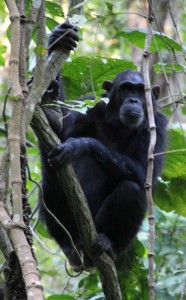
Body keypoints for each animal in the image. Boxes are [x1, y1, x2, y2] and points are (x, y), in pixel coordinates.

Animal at [38, 22, 166, 270]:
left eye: (140, 91)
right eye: (126, 89)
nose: (133, 100)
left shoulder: (159, 125)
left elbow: (145, 174)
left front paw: (80, 145)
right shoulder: (90, 106)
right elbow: (60, 134)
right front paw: (58, 38)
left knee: (132, 189)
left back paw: (107, 244)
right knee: (51, 179)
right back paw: (68, 246)